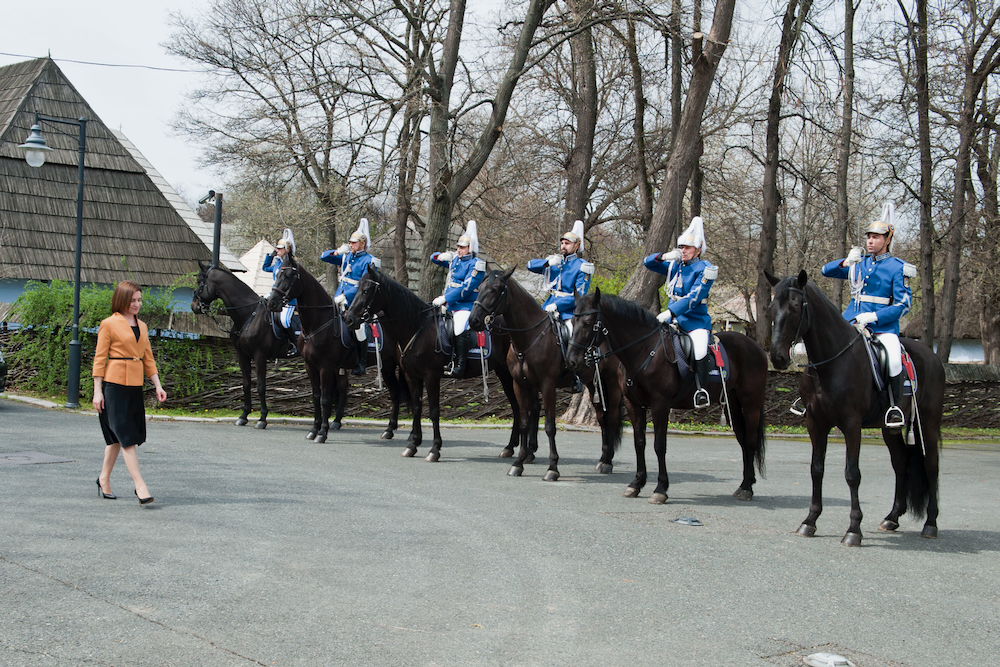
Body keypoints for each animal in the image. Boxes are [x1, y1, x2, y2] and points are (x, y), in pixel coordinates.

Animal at [192, 260, 292, 428]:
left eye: (200, 282)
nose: (194, 306)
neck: (249, 314)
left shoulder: (260, 356)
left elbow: (261, 387)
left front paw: (262, 418)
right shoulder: (242, 355)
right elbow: (246, 384)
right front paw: (244, 415)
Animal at [346, 264, 524, 462]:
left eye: (366, 290)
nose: (349, 318)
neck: (418, 327)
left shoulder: (431, 376)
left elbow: (433, 411)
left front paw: (434, 449)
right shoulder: (412, 376)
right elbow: (417, 407)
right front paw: (413, 444)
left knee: (518, 406)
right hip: (503, 373)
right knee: (516, 406)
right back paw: (510, 447)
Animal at [464, 268, 620, 482]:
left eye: (496, 289)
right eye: (479, 288)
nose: (474, 320)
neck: (530, 338)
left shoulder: (547, 387)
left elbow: (549, 426)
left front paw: (552, 468)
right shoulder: (520, 385)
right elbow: (524, 422)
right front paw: (518, 463)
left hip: (611, 381)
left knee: (611, 416)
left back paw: (608, 462)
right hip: (592, 384)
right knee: (601, 416)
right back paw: (603, 458)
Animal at [564, 290, 764, 504]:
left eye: (588, 323)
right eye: (572, 322)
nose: (571, 360)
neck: (644, 350)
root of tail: (755, 346)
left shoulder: (660, 405)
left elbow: (659, 445)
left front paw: (660, 488)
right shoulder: (634, 405)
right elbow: (639, 443)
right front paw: (636, 484)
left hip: (751, 404)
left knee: (750, 441)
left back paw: (746, 488)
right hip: (732, 404)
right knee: (743, 440)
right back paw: (746, 483)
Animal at [764, 268, 944, 544]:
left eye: (795, 307)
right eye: (772, 307)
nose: (778, 358)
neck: (831, 362)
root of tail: (933, 356)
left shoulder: (851, 425)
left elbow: (852, 474)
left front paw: (853, 529)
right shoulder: (816, 423)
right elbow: (817, 469)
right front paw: (810, 520)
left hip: (928, 424)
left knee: (931, 466)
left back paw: (931, 524)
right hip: (889, 428)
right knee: (901, 462)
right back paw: (892, 517)